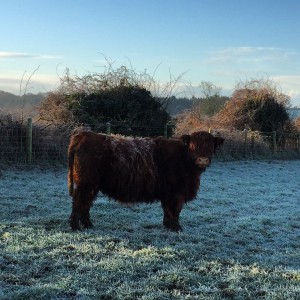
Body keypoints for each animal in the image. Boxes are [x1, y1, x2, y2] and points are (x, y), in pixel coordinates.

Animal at [67, 130, 223, 231]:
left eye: (211, 145)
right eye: (193, 146)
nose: (202, 160)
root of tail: (83, 135)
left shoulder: (167, 193)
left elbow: (168, 210)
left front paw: (168, 225)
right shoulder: (176, 193)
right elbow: (175, 210)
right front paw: (176, 227)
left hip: (92, 185)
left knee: (86, 203)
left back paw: (88, 225)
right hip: (85, 183)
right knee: (78, 202)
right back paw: (76, 226)